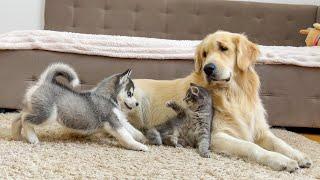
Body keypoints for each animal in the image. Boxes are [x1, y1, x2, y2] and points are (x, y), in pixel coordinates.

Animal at [11, 62, 149, 151]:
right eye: (130, 93)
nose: (137, 103)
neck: (107, 97)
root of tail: (45, 82)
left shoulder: (121, 120)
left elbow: (133, 130)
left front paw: (143, 138)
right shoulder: (113, 121)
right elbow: (126, 136)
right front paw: (139, 146)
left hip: (36, 109)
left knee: (18, 117)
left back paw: (16, 135)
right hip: (48, 115)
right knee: (25, 119)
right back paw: (32, 138)